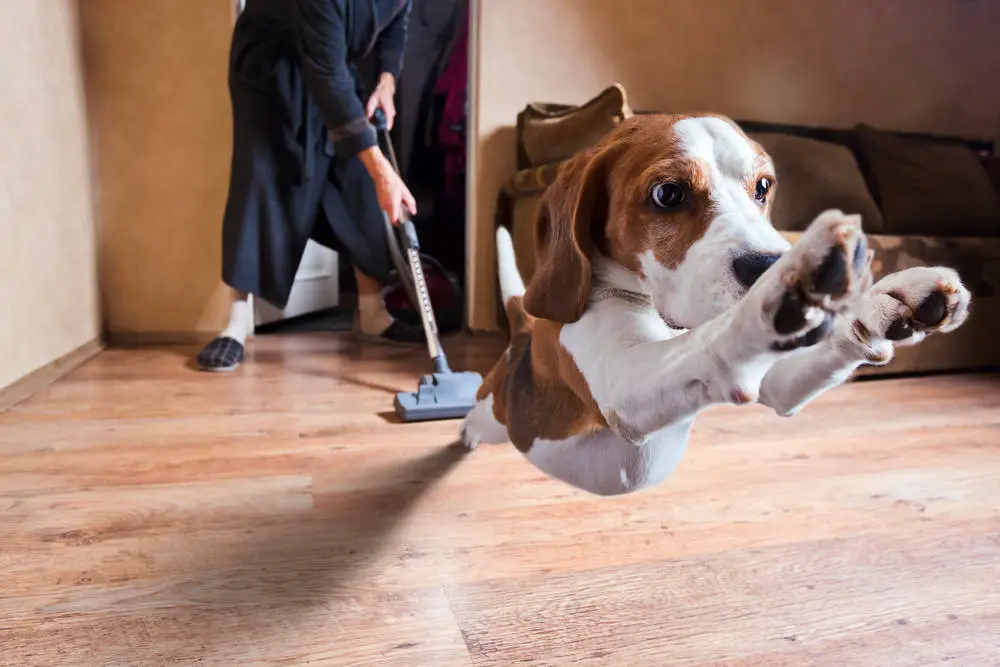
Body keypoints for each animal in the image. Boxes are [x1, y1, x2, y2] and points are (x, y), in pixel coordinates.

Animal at [464, 113, 972, 496]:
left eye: (763, 186)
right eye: (667, 193)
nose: (770, 263)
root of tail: (522, 335)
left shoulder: (775, 382)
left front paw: (885, 300)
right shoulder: (623, 381)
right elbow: (718, 336)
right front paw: (786, 290)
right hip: (495, 412)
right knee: (477, 414)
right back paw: (466, 432)